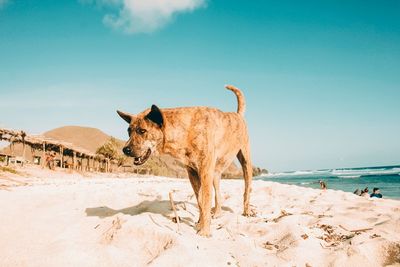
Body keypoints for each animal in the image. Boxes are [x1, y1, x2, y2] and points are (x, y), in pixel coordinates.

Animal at [117, 85, 252, 238]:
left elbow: (205, 201)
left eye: (142, 131)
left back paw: (247, 211)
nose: (125, 150)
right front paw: (200, 223)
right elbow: (200, 202)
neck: (186, 130)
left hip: (245, 162)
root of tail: (238, 115)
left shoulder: (205, 173)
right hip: (215, 174)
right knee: (218, 194)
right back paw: (217, 213)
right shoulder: (193, 174)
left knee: (247, 189)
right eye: (129, 131)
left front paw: (204, 230)